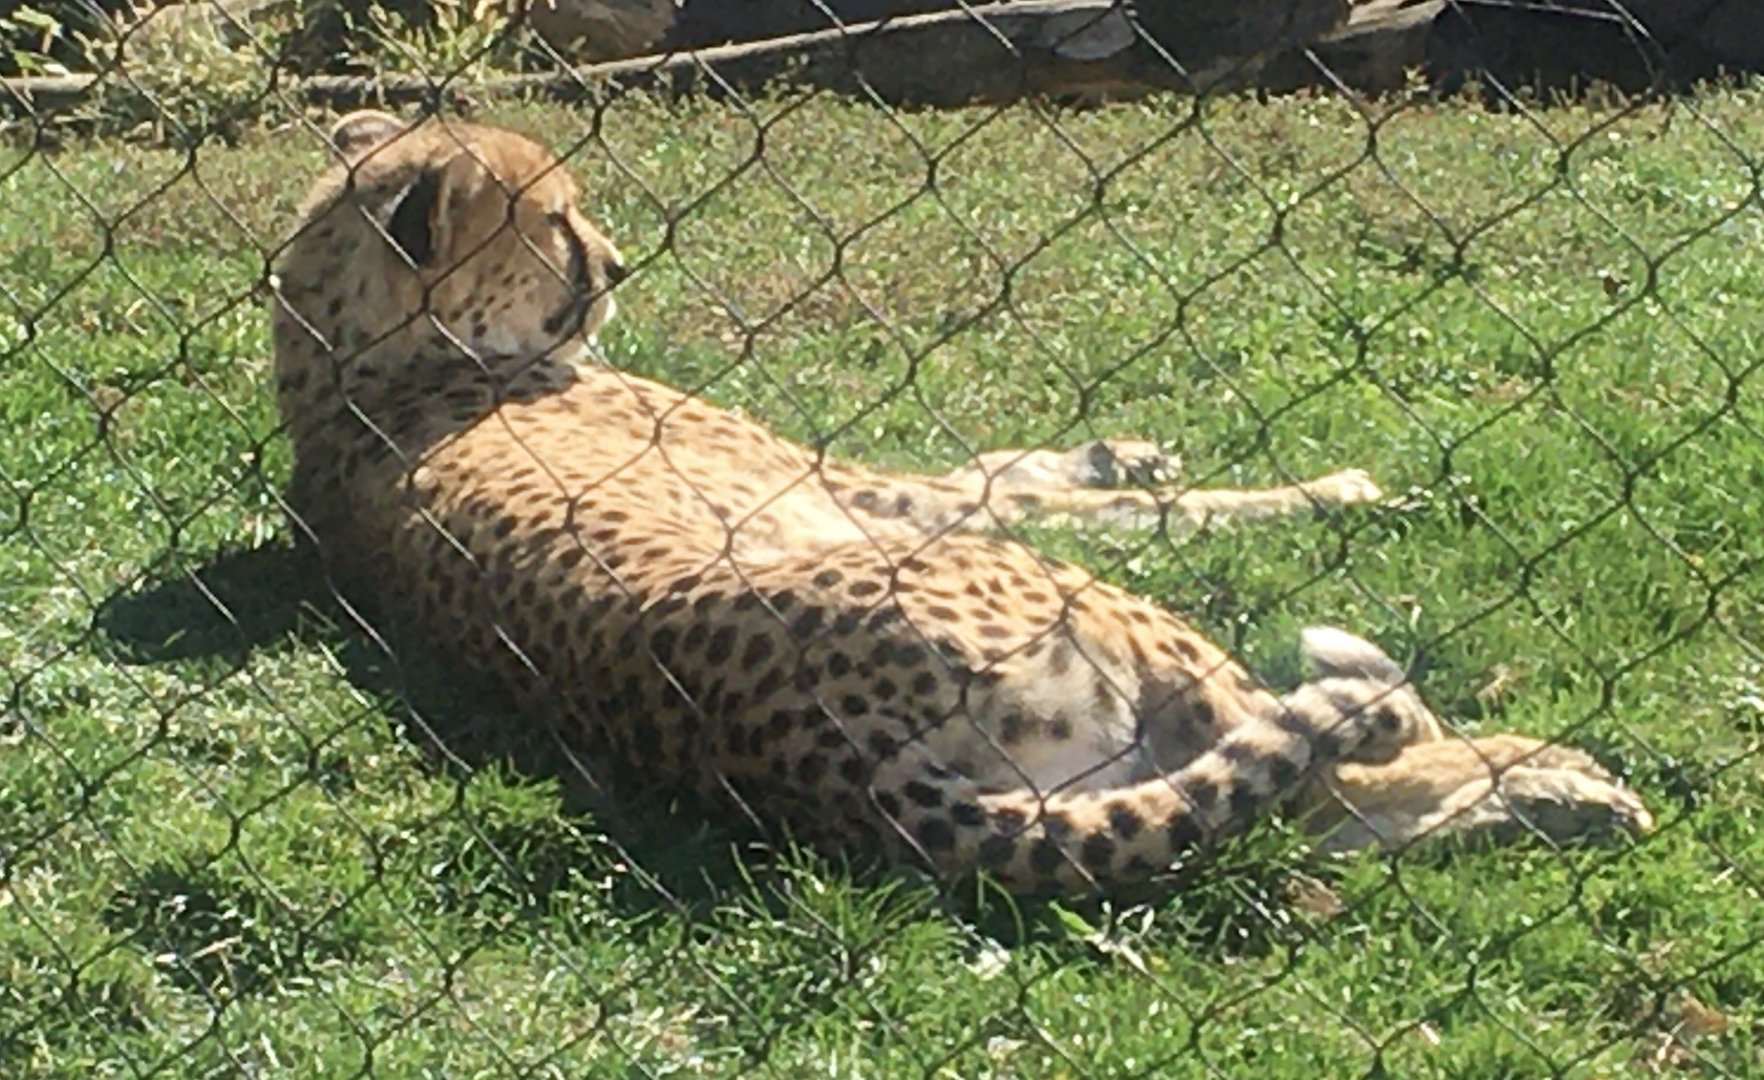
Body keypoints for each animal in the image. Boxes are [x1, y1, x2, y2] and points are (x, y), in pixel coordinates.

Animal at [269, 109, 1652, 894]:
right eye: (554, 219)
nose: (612, 262)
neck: (358, 362)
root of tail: (832, 765)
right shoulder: (886, 502)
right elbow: (1113, 508)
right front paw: (1330, 488)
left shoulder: (880, 484)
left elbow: (1010, 464)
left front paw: (1123, 449)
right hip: (1097, 623)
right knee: (1314, 767)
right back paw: (1547, 769)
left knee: (1303, 818)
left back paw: (1546, 797)